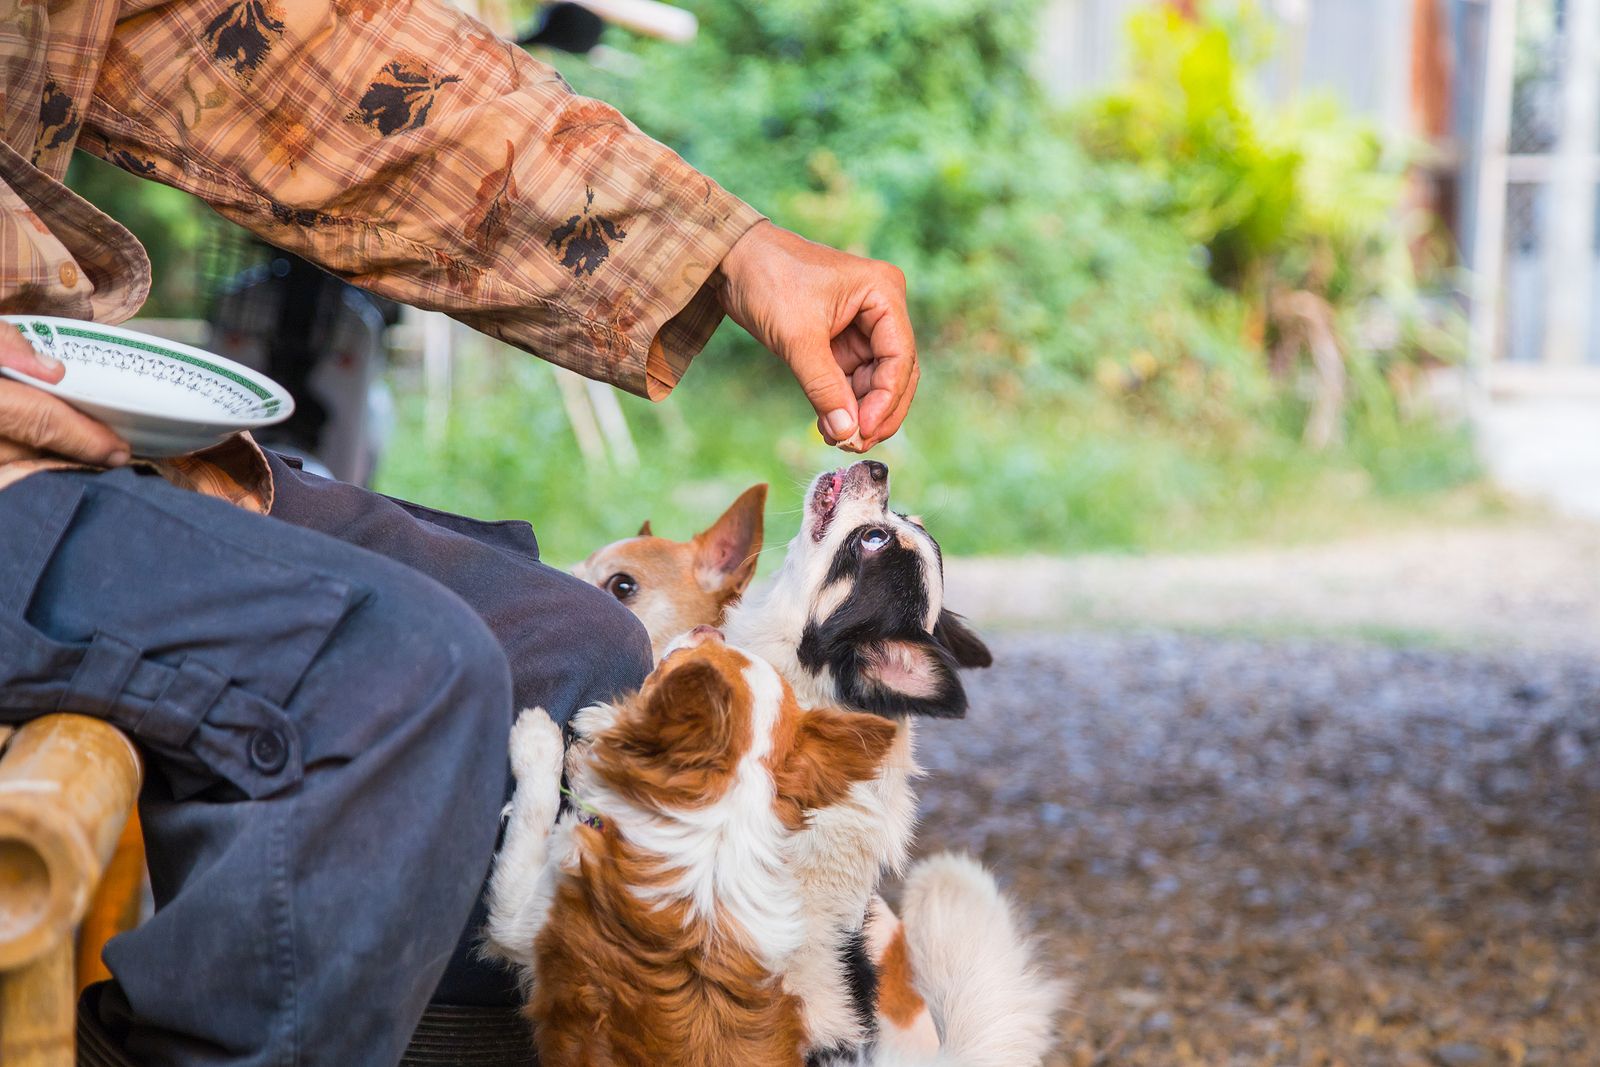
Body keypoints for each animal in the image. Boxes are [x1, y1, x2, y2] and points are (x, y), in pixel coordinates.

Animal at [483, 627, 902, 1067]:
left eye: (671, 665)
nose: (709, 628)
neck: (712, 850)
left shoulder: (520, 920)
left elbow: (534, 811)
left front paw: (538, 741)